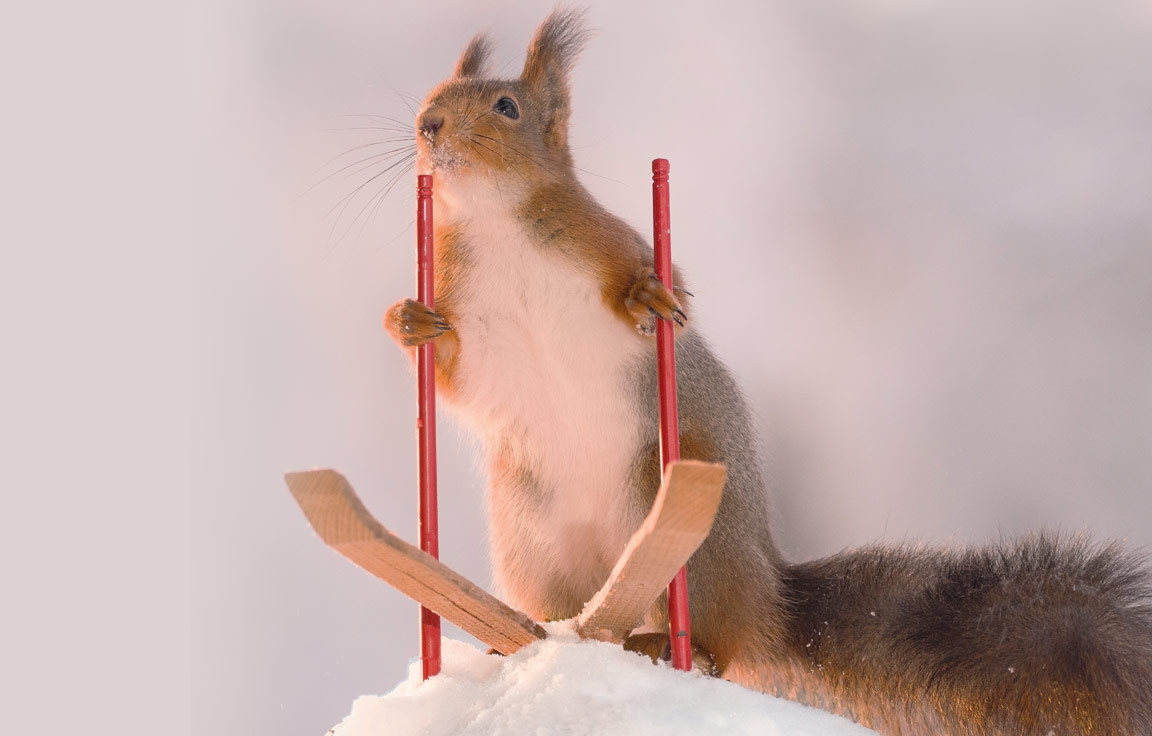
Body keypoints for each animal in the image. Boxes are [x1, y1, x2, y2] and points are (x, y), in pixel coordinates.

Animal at [383, 9, 1152, 735]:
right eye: (434, 94)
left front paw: (650, 298)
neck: (496, 223)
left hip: (677, 513)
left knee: (718, 646)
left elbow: (656, 289)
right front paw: (406, 323)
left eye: (507, 106)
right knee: (576, 617)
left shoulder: (608, 241)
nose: (427, 125)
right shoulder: (465, 308)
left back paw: (673, 645)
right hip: (531, 534)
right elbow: (453, 379)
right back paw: (534, 641)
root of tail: (768, 597)